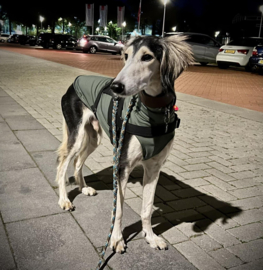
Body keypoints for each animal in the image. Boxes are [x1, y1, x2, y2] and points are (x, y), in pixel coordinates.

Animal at [56, 35, 194, 253]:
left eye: (147, 57)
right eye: (126, 56)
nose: (115, 87)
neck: (152, 111)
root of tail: (73, 83)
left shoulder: (154, 168)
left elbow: (147, 208)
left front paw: (150, 237)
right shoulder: (123, 166)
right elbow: (118, 209)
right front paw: (117, 239)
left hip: (94, 137)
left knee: (78, 161)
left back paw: (83, 188)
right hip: (76, 135)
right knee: (62, 166)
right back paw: (64, 200)